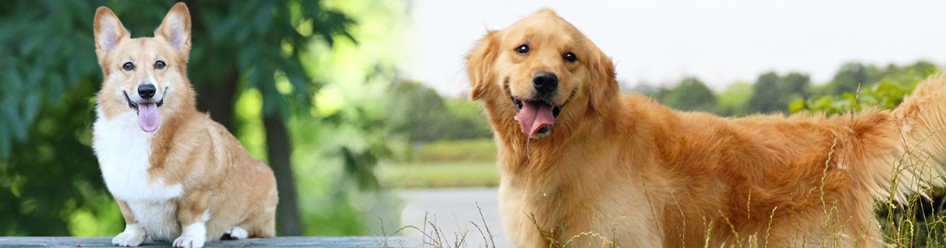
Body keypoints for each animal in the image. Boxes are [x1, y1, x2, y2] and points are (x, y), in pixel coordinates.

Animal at [90, 2, 278, 248]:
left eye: (160, 64)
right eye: (128, 66)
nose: (147, 90)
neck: (142, 135)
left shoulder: (197, 192)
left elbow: (190, 216)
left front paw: (189, 238)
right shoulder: (122, 192)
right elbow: (132, 217)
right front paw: (131, 236)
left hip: (265, 189)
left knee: (259, 229)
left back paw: (234, 231)